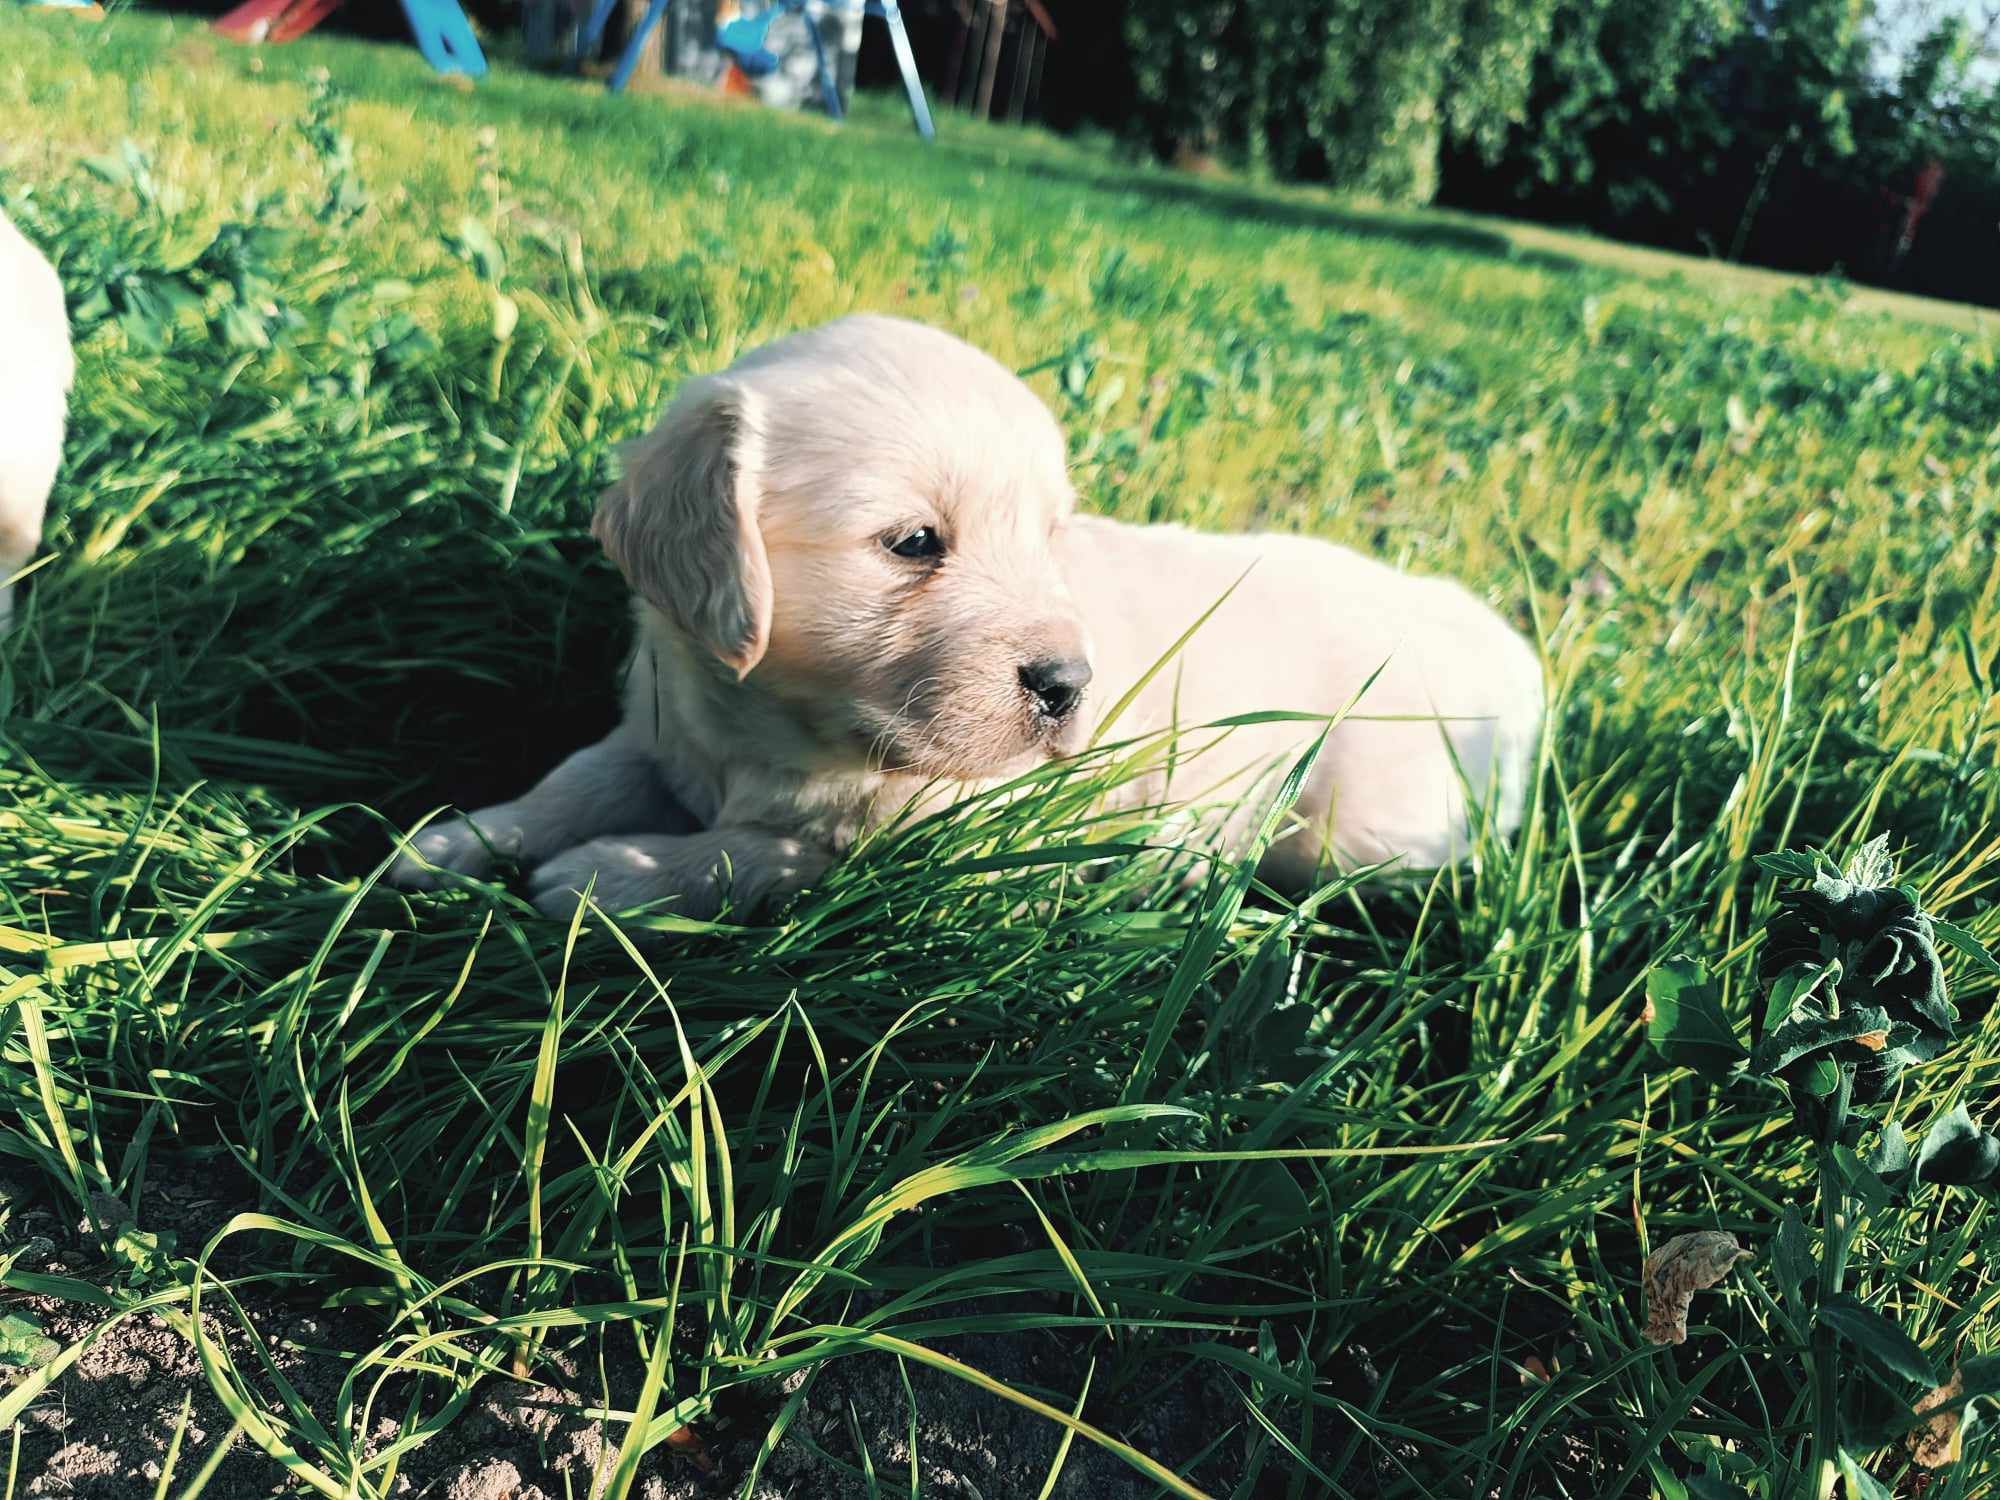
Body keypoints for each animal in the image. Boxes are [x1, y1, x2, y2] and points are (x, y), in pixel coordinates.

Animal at [394, 318, 1544, 916]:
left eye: (1050, 535)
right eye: (913, 542)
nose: (1070, 687)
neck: (783, 736)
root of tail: (1509, 658)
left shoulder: (945, 850)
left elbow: (767, 852)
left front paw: (607, 875)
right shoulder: (663, 723)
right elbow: (577, 776)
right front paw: (453, 841)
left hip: (1363, 829)